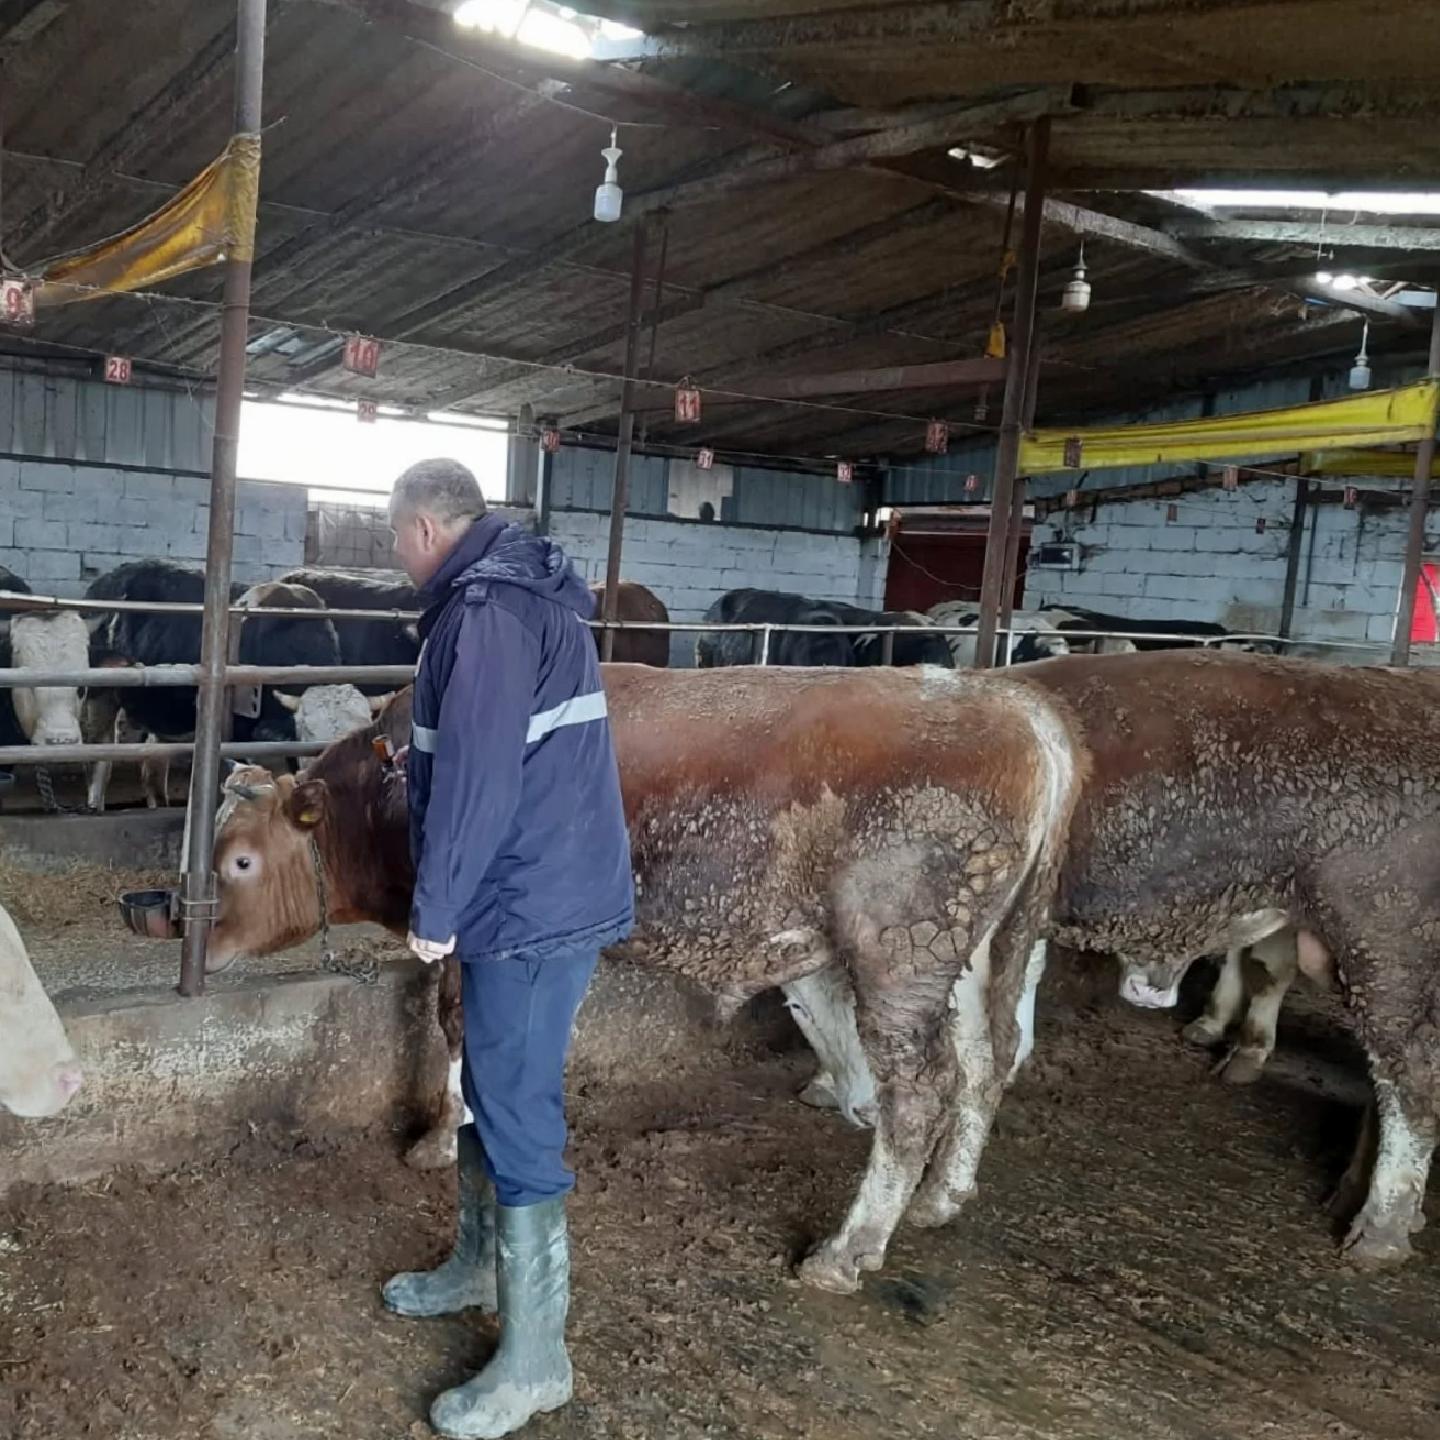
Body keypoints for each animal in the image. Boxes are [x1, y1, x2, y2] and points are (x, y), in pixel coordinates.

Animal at [203, 665, 1082, 1296]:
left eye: (239, 861)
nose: (197, 941)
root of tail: (1005, 701)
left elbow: (455, 1025)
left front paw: (441, 1137)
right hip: (966, 956)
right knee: (985, 1061)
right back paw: (942, 1196)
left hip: (900, 952)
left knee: (918, 1094)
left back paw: (847, 1248)